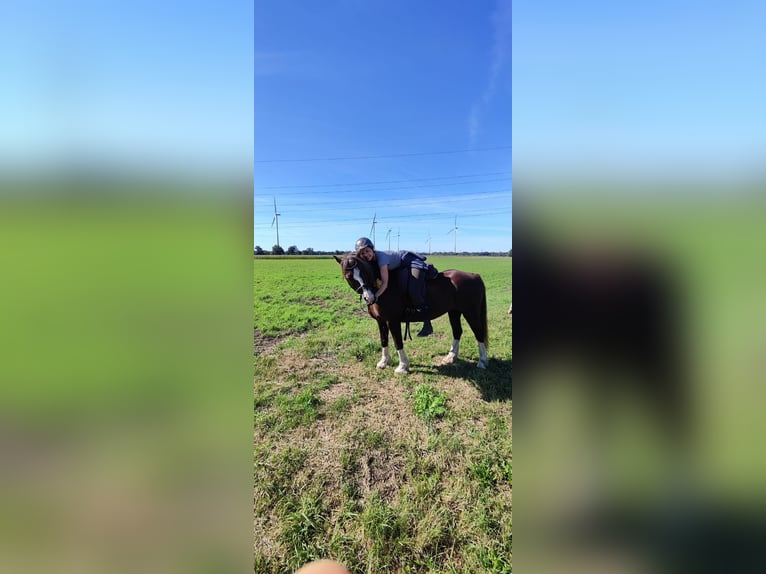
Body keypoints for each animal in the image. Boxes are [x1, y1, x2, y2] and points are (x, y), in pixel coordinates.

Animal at [334, 253, 489, 374]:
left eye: (365, 272)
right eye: (349, 276)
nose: (370, 297)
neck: (383, 286)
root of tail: (474, 276)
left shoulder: (393, 321)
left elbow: (397, 342)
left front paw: (403, 367)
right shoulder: (380, 321)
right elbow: (384, 340)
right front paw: (384, 362)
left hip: (471, 313)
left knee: (478, 333)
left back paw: (482, 361)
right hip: (454, 312)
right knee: (457, 331)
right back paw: (451, 357)